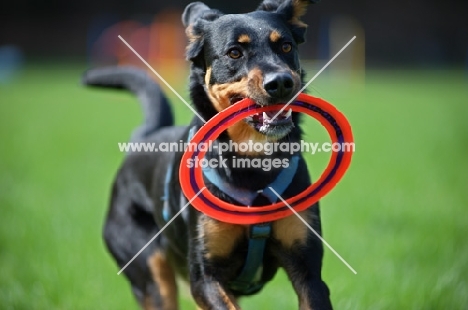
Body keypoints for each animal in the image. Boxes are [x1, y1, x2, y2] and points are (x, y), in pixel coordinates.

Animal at [83, 1, 332, 308]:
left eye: (285, 46)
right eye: (234, 52)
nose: (282, 82)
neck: (253, 160)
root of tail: (143, 138)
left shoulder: (309, 271)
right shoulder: (204, 278)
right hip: (150, 270)